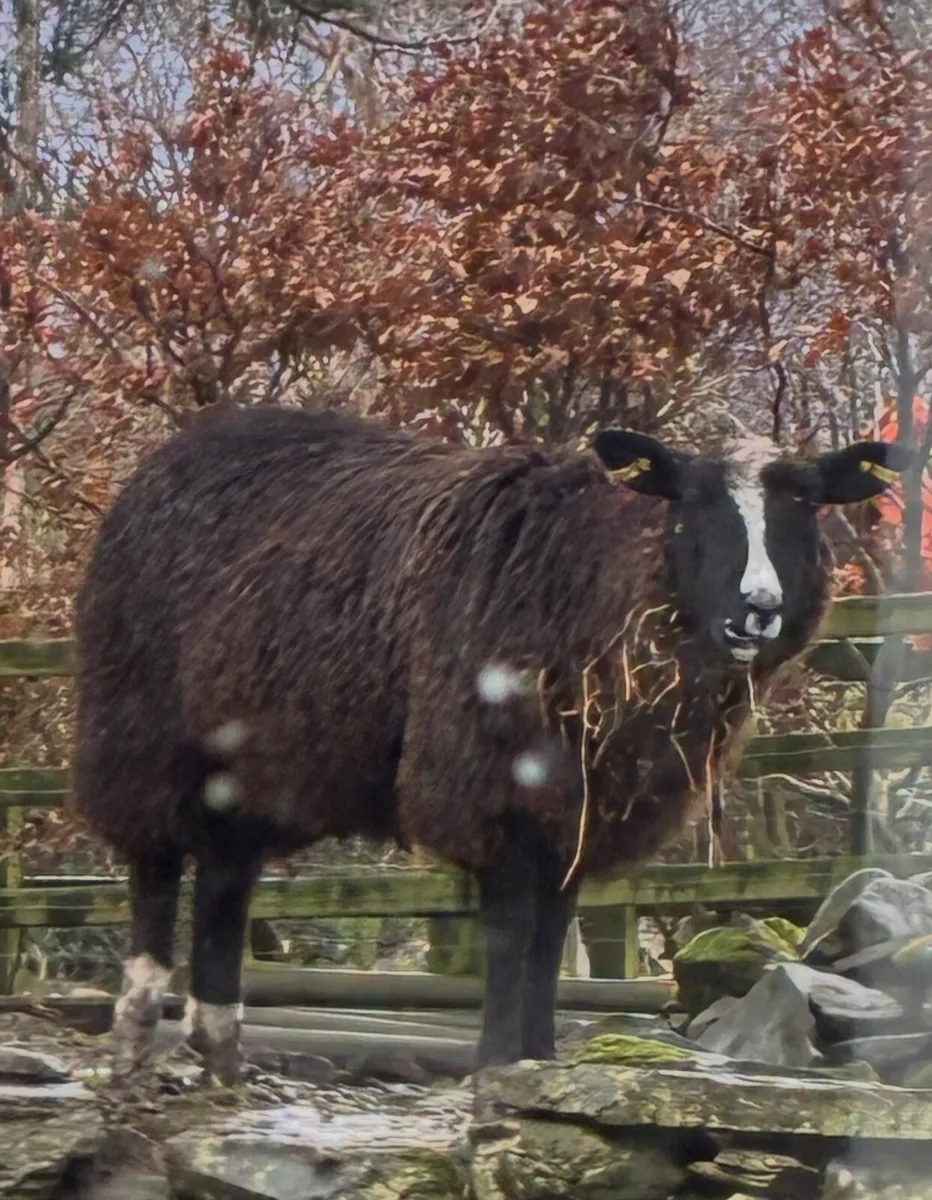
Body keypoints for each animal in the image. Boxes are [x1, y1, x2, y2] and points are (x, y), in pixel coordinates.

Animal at [71, 403, 912, 1081]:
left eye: (805, 506)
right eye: (692, 505)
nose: (756, 610)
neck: (603, 586)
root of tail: (179, 448)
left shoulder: (575, 809)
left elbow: (550, 936)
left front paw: (537, 1061)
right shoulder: (497, 789)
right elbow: (511, 934)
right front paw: (497, 1064)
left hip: (245, 766)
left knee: (224, 876)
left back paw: (219, 1054)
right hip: (141, 732)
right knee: (155, 866)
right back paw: (137, 1033)